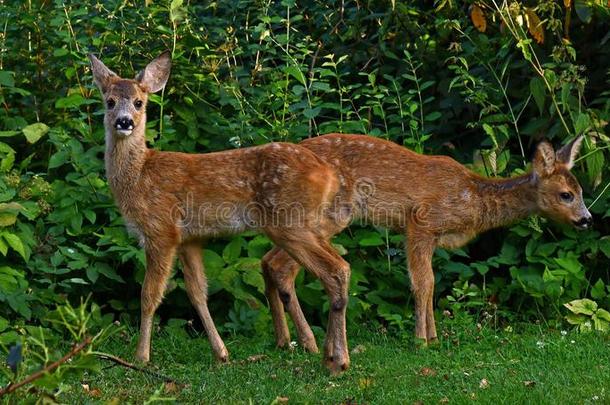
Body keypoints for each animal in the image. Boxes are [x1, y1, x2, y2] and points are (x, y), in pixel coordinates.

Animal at [91, 51, 356, 372]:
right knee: (337, 267)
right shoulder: (189, 239)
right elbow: (197, 294)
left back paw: (338, 360)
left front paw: (141, 357)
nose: (124, 121)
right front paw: (221, 353)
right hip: (309, 225)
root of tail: (329, 174)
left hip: (290, 223)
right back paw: (327, 352)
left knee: (336, 270)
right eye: (110, 101)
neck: (140, 175)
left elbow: (149, 295)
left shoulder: (161, 230)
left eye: (139, 102)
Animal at [260, 133, 588, 370]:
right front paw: (421, 341)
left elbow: (432, 284)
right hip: (327, 217)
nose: (587, 219)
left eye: (581, 191)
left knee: (266, 261)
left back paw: (285, 341)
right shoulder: (420, 222)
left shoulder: (433, 239)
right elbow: (422, 283)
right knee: (281, 266)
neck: (474, 200)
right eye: (566, 195)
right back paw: (309, 344)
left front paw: (433, 337)